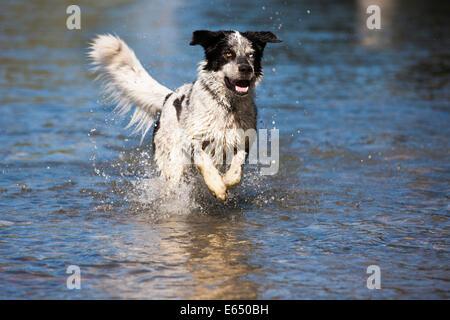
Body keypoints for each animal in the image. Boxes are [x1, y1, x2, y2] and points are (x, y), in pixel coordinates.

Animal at [88, 30, 282, 200]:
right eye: (228, 53)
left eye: (251, 55)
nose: (245, 68)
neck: (228, 107)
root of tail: (168, 97)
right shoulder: (192, 140)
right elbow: (204, 161)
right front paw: (218, 187)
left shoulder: (244, 139)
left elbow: (236, 169)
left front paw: (225, 181)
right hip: (172, 161)